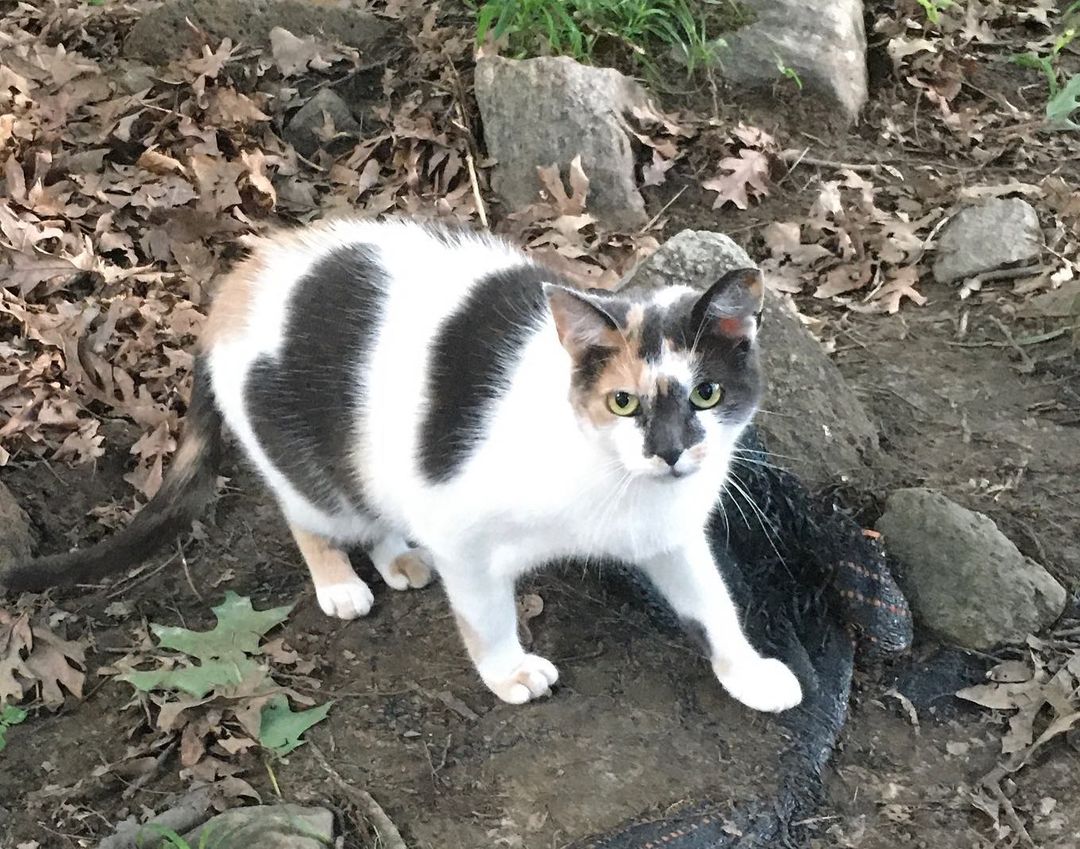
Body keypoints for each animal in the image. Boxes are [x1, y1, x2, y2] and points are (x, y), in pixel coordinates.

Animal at [4, 217, 803, 708]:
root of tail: (237, 285)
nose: (670, 450)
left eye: (706, 393)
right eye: (624, 402)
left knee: (382, 506)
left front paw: (749, 673)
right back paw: (340, 581)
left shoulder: (670, 536)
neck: (615, 482)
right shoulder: (465, 530)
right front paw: (508, 672)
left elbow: (713, 603)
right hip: (310, 466)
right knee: (310, 512)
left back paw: (398, 556)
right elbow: (486, 613)